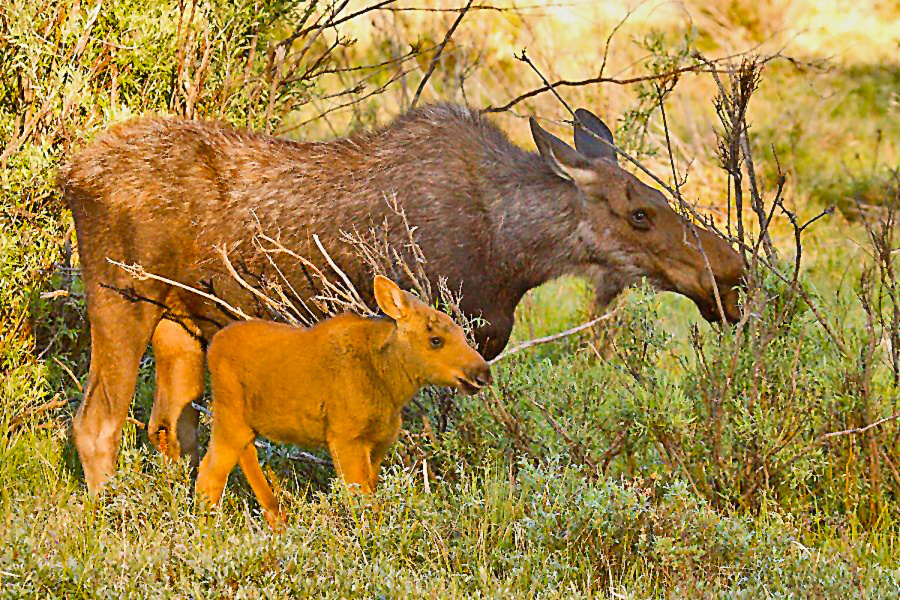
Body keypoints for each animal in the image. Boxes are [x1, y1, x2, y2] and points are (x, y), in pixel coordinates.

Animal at [61, 103, 744, 492]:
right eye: (639, 214)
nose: (731, 275)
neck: (515, 251)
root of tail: (70, 174)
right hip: (119, 297)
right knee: (97, 423)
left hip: (180, 325)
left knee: (172, 430)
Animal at [197, 276, 492, 524]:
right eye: (435, 340)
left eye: (462, 332)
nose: (482, 374)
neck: (390, 384)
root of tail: (212, 346)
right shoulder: (344, 437)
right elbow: (359, 497)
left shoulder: (379, 441)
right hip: (230, 419)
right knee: (209, 475)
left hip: (243, 425)